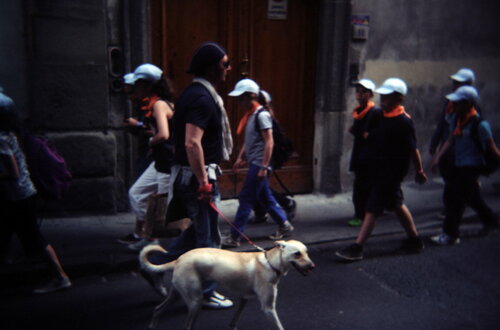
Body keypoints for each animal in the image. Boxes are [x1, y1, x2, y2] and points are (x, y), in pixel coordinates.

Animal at [139, 240, 314, 330]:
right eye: (297, 254)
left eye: (306, 252)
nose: (313, 266)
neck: (271, 263)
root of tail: (179, 259)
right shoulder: (268, 308)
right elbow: (279, 326)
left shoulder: (244, 299)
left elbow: (234, 321)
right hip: (195, 302)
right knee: (186, 326)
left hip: (176, 295)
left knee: (158, 309)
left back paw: (152, 326)